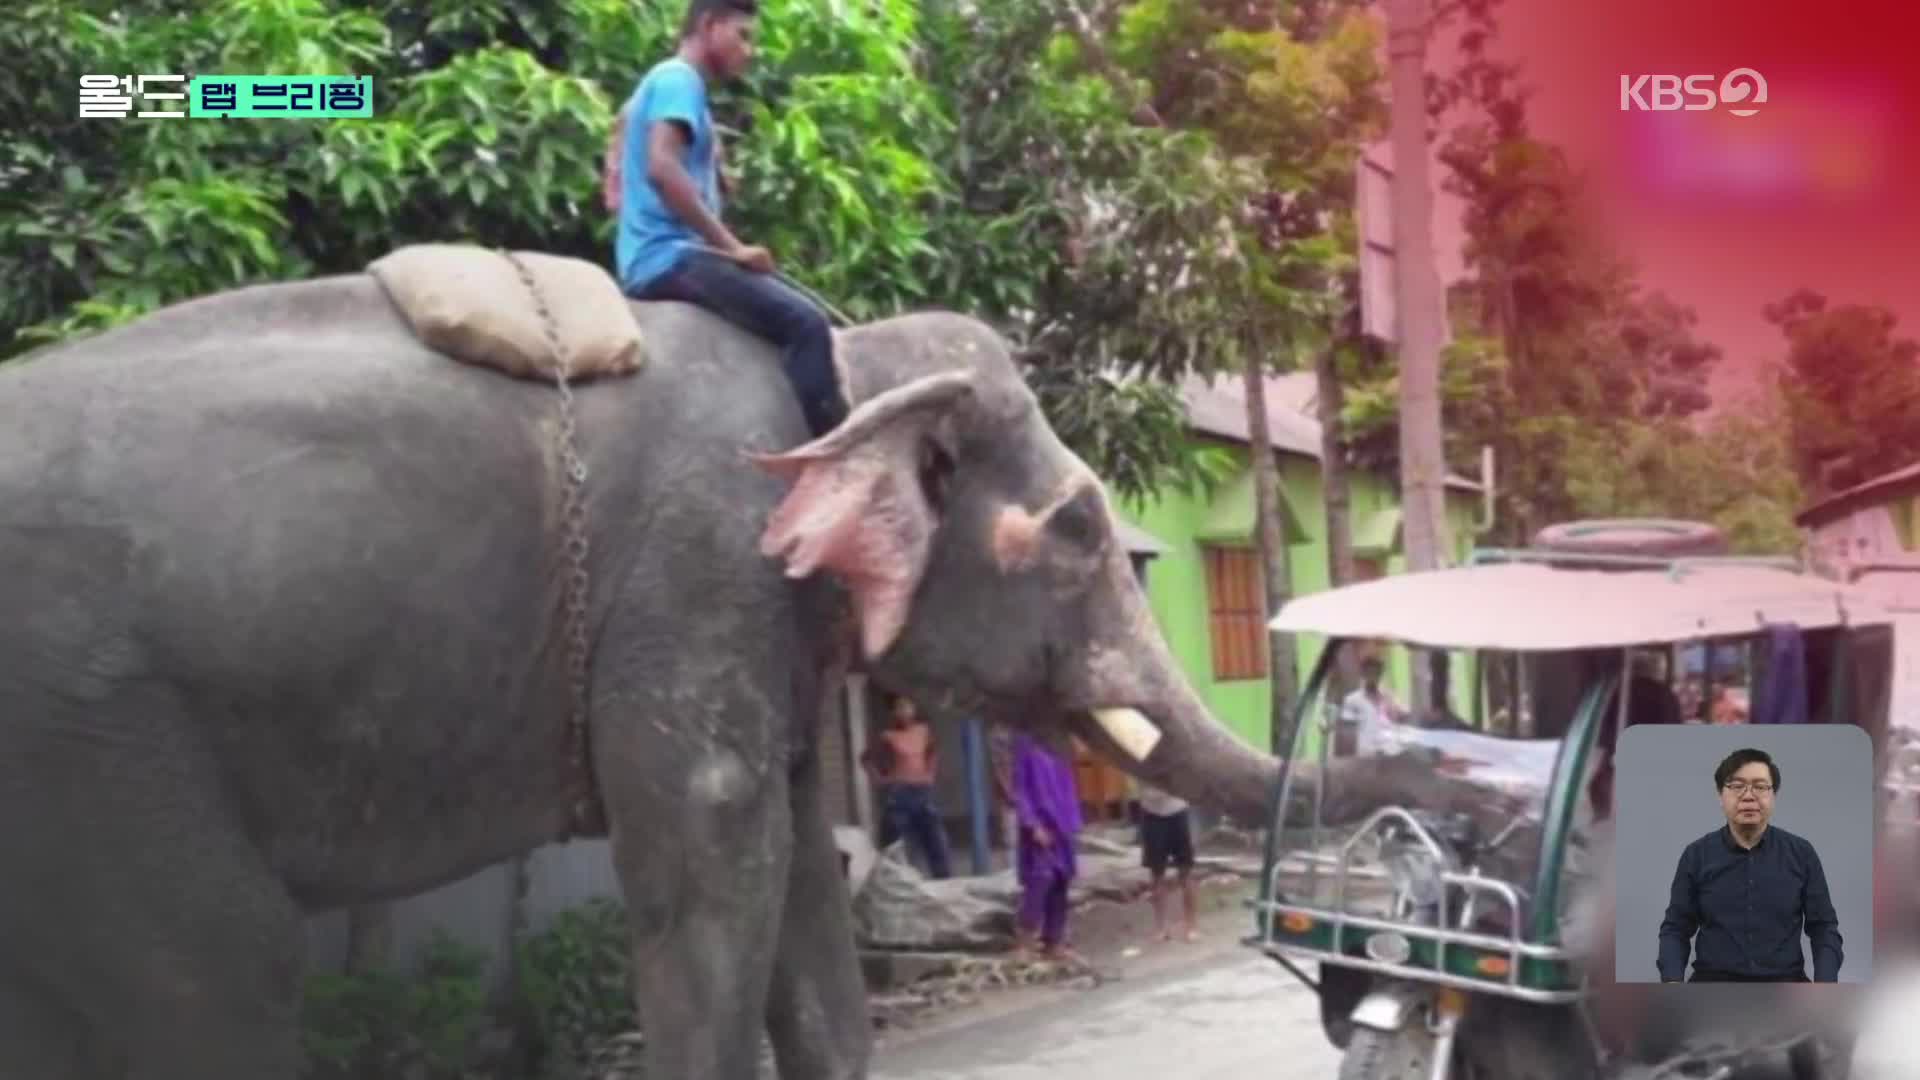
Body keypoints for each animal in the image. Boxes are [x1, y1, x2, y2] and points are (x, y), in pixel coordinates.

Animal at [0, 270, 1497, 1076]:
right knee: (226, 980)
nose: (1482, 803)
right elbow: (713, 869)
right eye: (1079, 531)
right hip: (90, 728)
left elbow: (806, 895)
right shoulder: (703, 569)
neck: (845, 368)